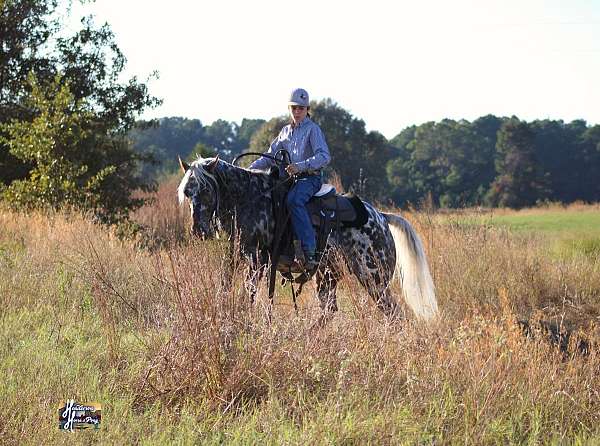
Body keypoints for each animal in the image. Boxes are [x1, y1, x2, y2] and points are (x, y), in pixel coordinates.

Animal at [176, 155, 438, 322]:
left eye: (206, 190)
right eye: (187, 192)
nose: (198, 230)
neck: (249, 198)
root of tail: (382, 218)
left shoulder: (256, 259)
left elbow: (249, 292)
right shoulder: (234, 255)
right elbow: (225, 286)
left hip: (373, 277)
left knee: (393, 313)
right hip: (328, 275)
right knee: (329, 309)